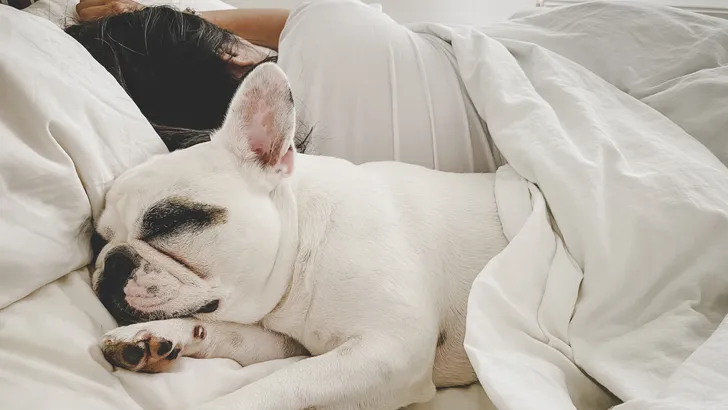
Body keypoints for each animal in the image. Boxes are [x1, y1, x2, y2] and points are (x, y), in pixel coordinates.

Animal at [92, 61, 506, 410]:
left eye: (169, 223)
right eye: (99, 240)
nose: (111, 263)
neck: (305, 248)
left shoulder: (389, 352)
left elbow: (280, 386)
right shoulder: (285, 341)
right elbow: (226, 332)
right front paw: (152, 335)